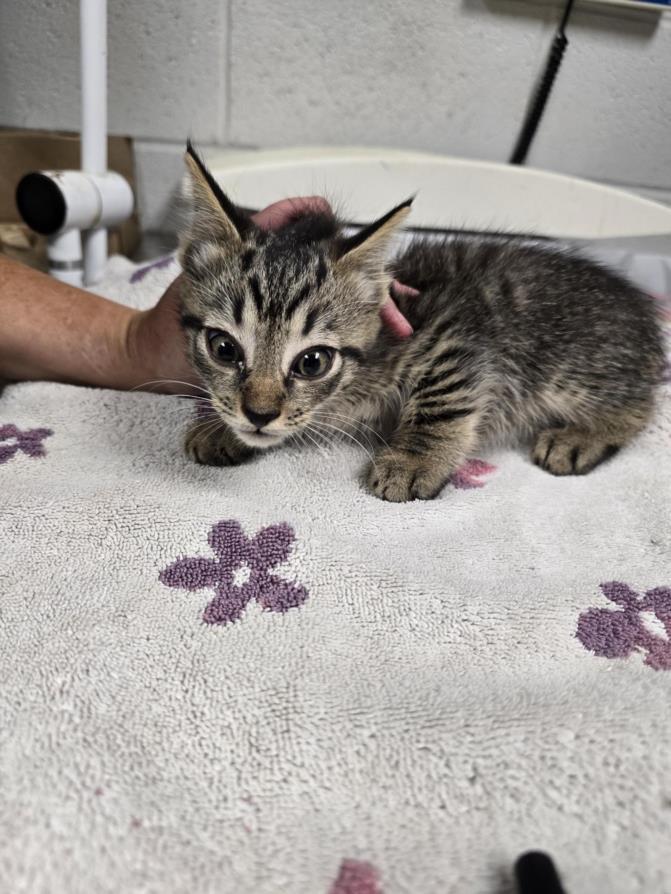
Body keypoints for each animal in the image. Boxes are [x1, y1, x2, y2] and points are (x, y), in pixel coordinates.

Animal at [178, 143, 668, 500]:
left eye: (312, 362)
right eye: (223, 348)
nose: (259, 414)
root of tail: (643, 311)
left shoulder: (453, 335)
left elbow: (442, 399)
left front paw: (413, 461)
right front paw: (223, 428)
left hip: (571, 366)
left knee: (638, 404)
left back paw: (579, 437)